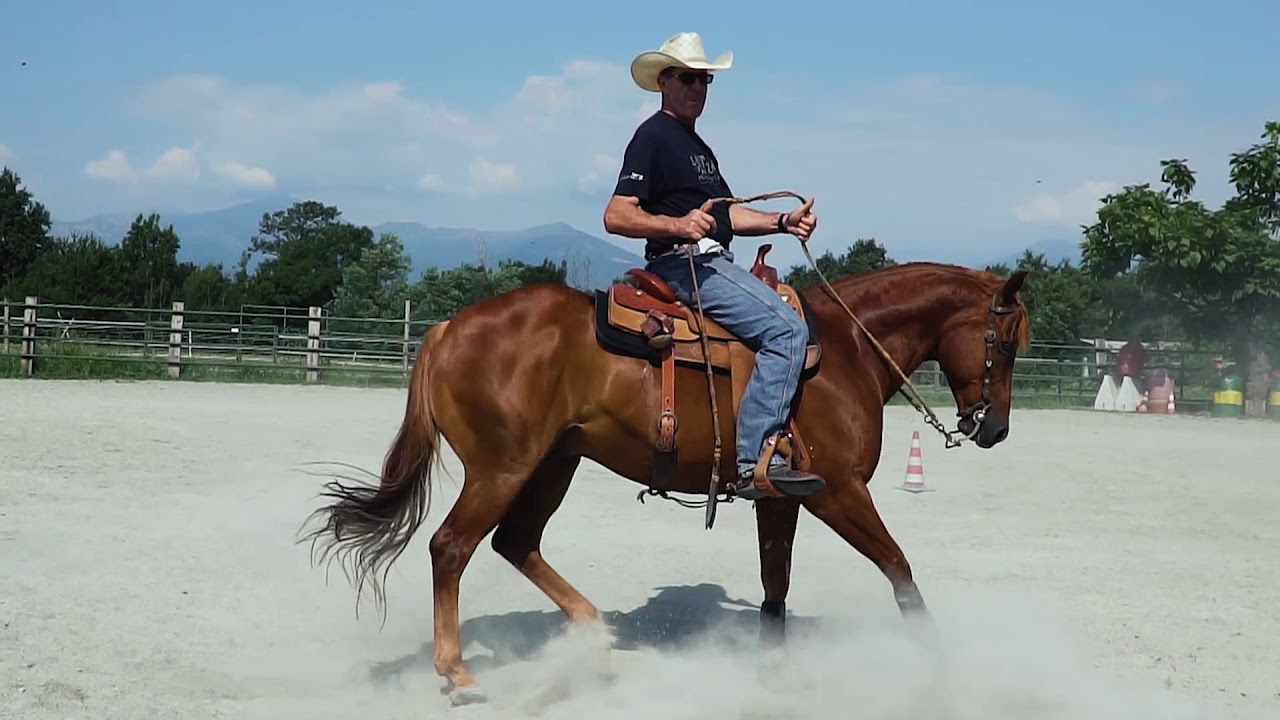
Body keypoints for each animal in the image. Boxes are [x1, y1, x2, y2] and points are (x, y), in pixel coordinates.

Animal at [301, 234, 1031, 706]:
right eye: (1007, 342)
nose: (994, 429)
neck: (845, 348)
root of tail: (447, 329)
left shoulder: (781, 494)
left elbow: (775, 586)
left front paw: (777, 677)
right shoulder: (839, 492)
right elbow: (900, 572)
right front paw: (938, 672)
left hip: (554, 463)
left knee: (517, 543)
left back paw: (593, 635)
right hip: (501, 469)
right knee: (451, 547)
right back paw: (459, 675)